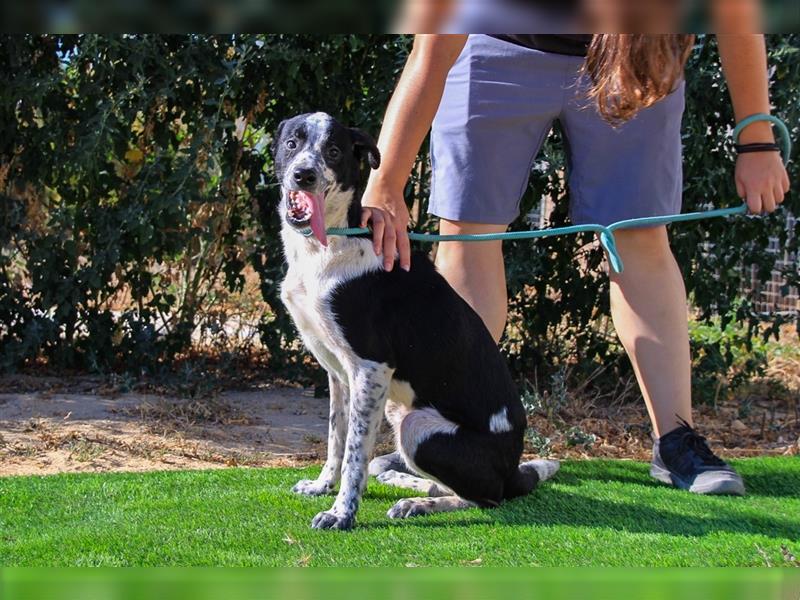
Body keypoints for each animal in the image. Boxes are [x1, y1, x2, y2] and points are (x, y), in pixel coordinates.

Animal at [272, 111, 560, 528]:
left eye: (334, 151)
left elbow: (354, 453)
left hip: (417, 427)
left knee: (487, 498)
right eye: (292, 143)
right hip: (399, 411)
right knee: (442, 484)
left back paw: (419, 503)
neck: (329, 245)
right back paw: (403, 482)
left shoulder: (371, 367)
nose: (304, 175)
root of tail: (511, 469)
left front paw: (342, 513)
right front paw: (323, 486)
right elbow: (337, 439)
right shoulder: (339, 373)